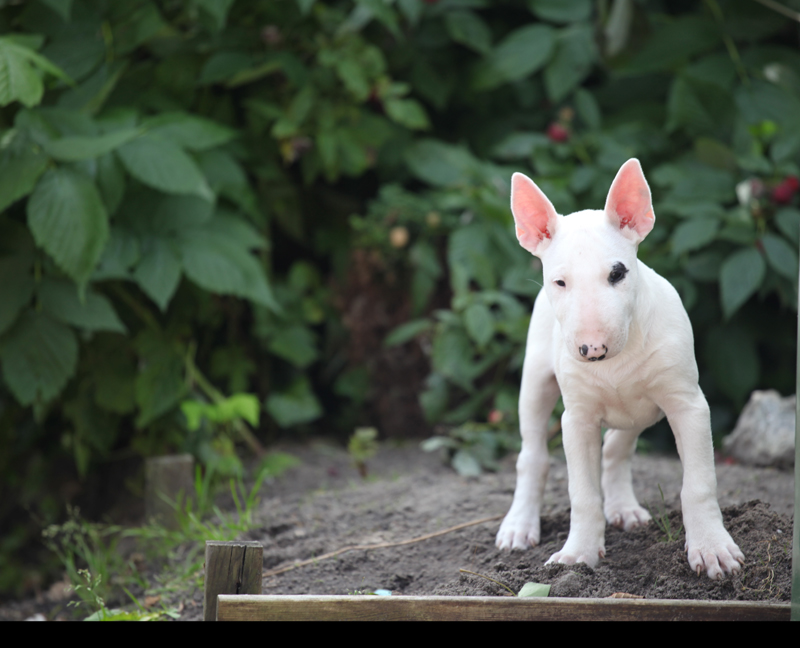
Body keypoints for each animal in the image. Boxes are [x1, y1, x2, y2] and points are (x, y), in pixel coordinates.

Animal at [496, 159, 748, 580]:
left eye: (617, 273)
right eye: (559, 281)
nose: (592, 350)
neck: (617, 362)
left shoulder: (688, 405)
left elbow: (699, 483)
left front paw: (713, 550)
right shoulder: (576, 418)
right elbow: (582, 492)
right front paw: (578, 555)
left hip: (643, 411)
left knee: (617, 446)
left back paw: (623, 508)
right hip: (535, 382)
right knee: (532, 456)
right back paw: (518, 526)